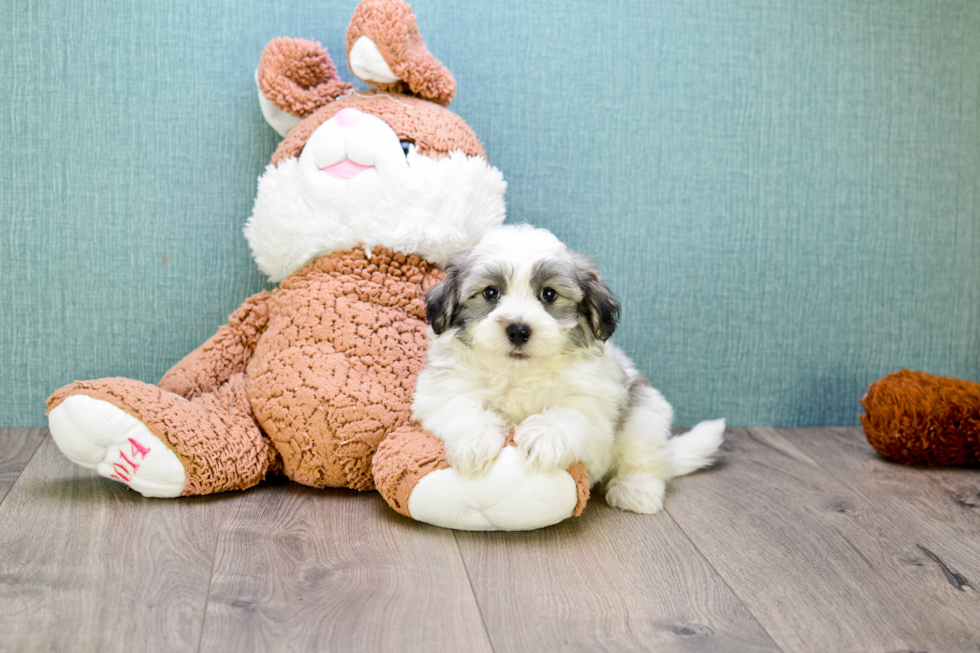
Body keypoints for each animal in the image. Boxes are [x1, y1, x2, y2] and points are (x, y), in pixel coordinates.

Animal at [410, 225, 724, 516]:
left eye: (548, 294)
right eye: (490, 292)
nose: (518, 330)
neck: (518, 371)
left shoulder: (592, 395)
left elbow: (570, 410)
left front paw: (543, 437)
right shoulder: (444, 388)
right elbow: (462, 407)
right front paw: (475, 442)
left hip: (645, 417)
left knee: (646, 460)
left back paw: (636, 489)